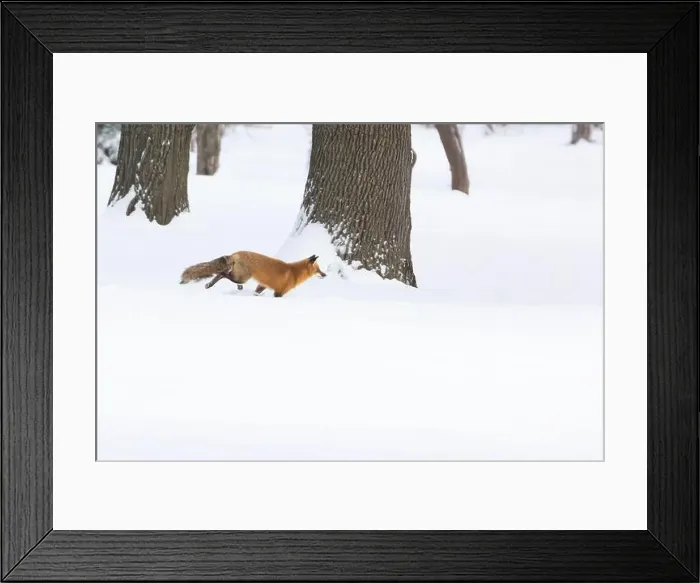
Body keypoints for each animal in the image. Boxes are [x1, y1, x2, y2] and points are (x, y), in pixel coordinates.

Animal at [180, 250, 327, 297]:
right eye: (318, 270)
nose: (325, 275)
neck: (294, 272)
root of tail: (235, 253)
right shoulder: (279, 293)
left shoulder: (262, 285)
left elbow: (256, 293)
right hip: (243, 278)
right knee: (222, 273)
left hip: (240, 276)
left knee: (222, 274)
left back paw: (211, 285)